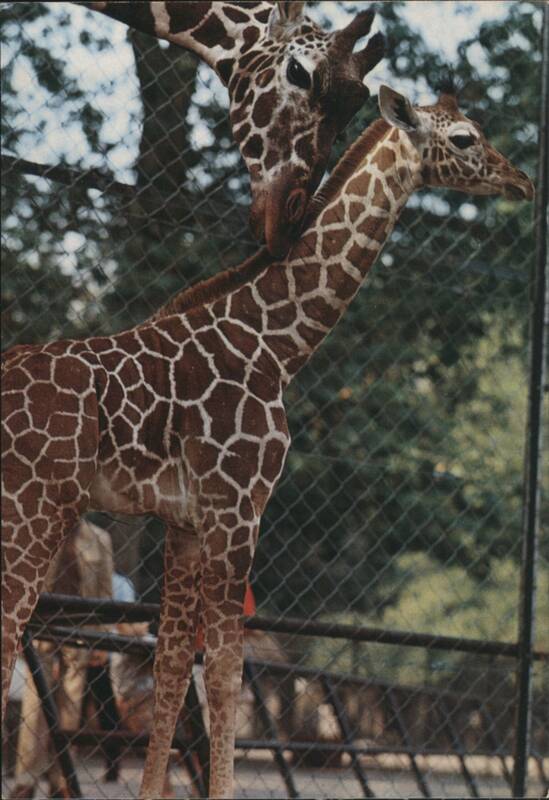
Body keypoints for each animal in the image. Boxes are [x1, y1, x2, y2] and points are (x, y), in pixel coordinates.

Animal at [1, 85, 533, 798]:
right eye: (466, 138)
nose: (522, 179)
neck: (278, 346)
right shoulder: (238, 508)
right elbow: (226, 671)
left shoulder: (186, 521)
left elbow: (174, 669)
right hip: (35, 509)